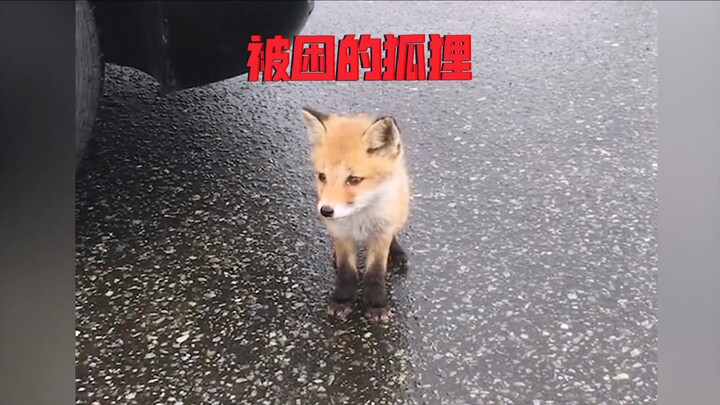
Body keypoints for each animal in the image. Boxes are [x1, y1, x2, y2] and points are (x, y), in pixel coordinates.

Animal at [300, 106, 411, 324]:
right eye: (322, 176)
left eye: (354, 179)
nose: (325, 211)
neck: (359, 218)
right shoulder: (340, 233)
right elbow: (347, 272)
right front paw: (343, 300)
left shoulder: (380, 234)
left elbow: (375, 273)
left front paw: (375, 304)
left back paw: (397, 252)